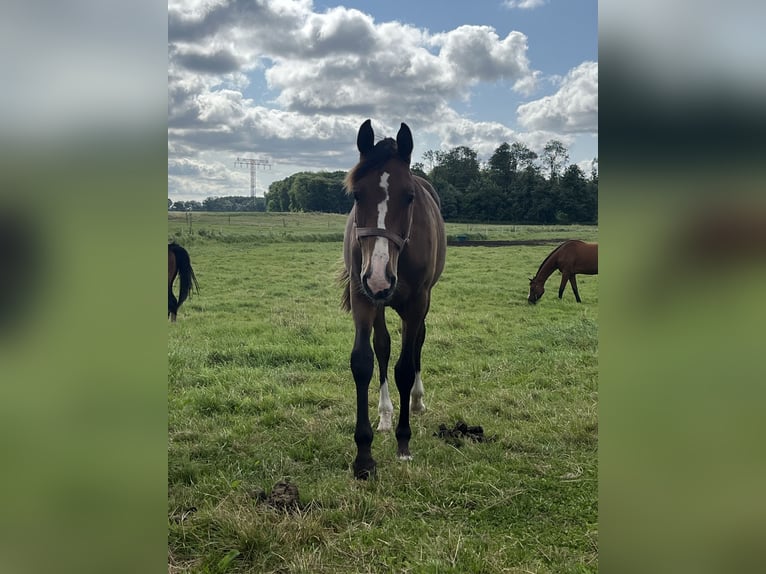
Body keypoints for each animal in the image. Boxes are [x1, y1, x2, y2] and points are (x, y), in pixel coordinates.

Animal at [340, 120, 448, 482]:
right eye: (357, 195)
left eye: (409, 196)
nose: (378, 277)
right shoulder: (363, 297)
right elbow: (364, 361)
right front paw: (363, 456)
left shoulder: (416, 303)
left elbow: (405, 367)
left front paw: (404, 443)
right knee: (384, 346)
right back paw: (386, 414)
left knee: (417, 346)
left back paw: (415, 401)